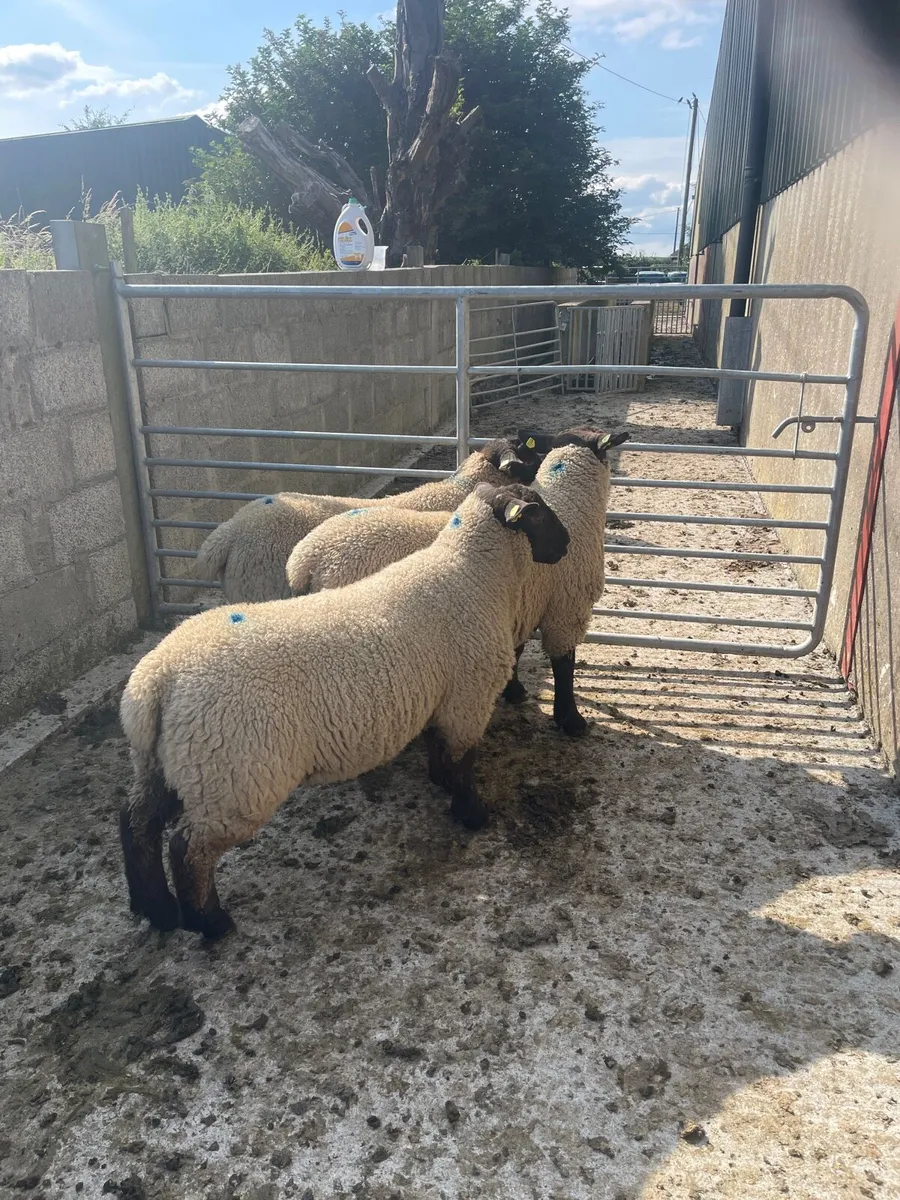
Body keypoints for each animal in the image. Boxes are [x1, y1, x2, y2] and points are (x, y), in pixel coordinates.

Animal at [119, 481, 570, 939]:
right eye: (537, 514)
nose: (567, 543)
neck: (472, 575)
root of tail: (157, 679)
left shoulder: (441, 698)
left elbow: (440, 750)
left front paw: (441, 784)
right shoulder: (469, 698)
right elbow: (463, 761)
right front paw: (472, 814)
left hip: (171, 763)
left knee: (136, 823)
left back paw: (156, 909)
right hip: (234, 774)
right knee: (187, 849)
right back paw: (209, 923)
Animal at [284, 427, 630, 734]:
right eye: (529, 454)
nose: (565, 543)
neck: (571, 503)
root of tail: (306, 561)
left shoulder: (520, 606)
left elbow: (517, 650)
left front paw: (514, 690)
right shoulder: (567, 607)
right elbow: (564, 665)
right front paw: (570, 720)